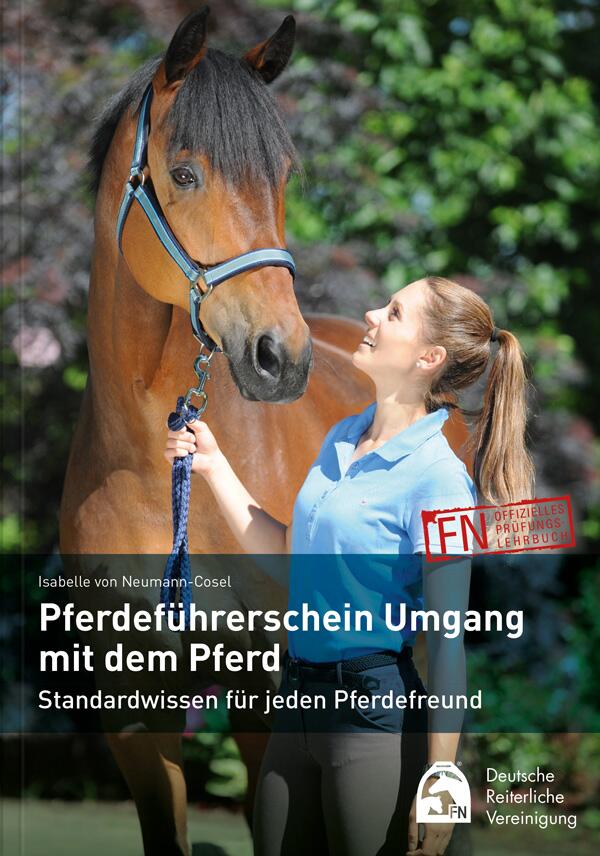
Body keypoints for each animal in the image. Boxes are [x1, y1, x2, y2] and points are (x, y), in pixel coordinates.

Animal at [59, 9, 468, 855]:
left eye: (281, 177)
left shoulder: (270, 693)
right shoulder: (133, 713)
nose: (281, 358)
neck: (154, 479)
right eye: (184, 174)